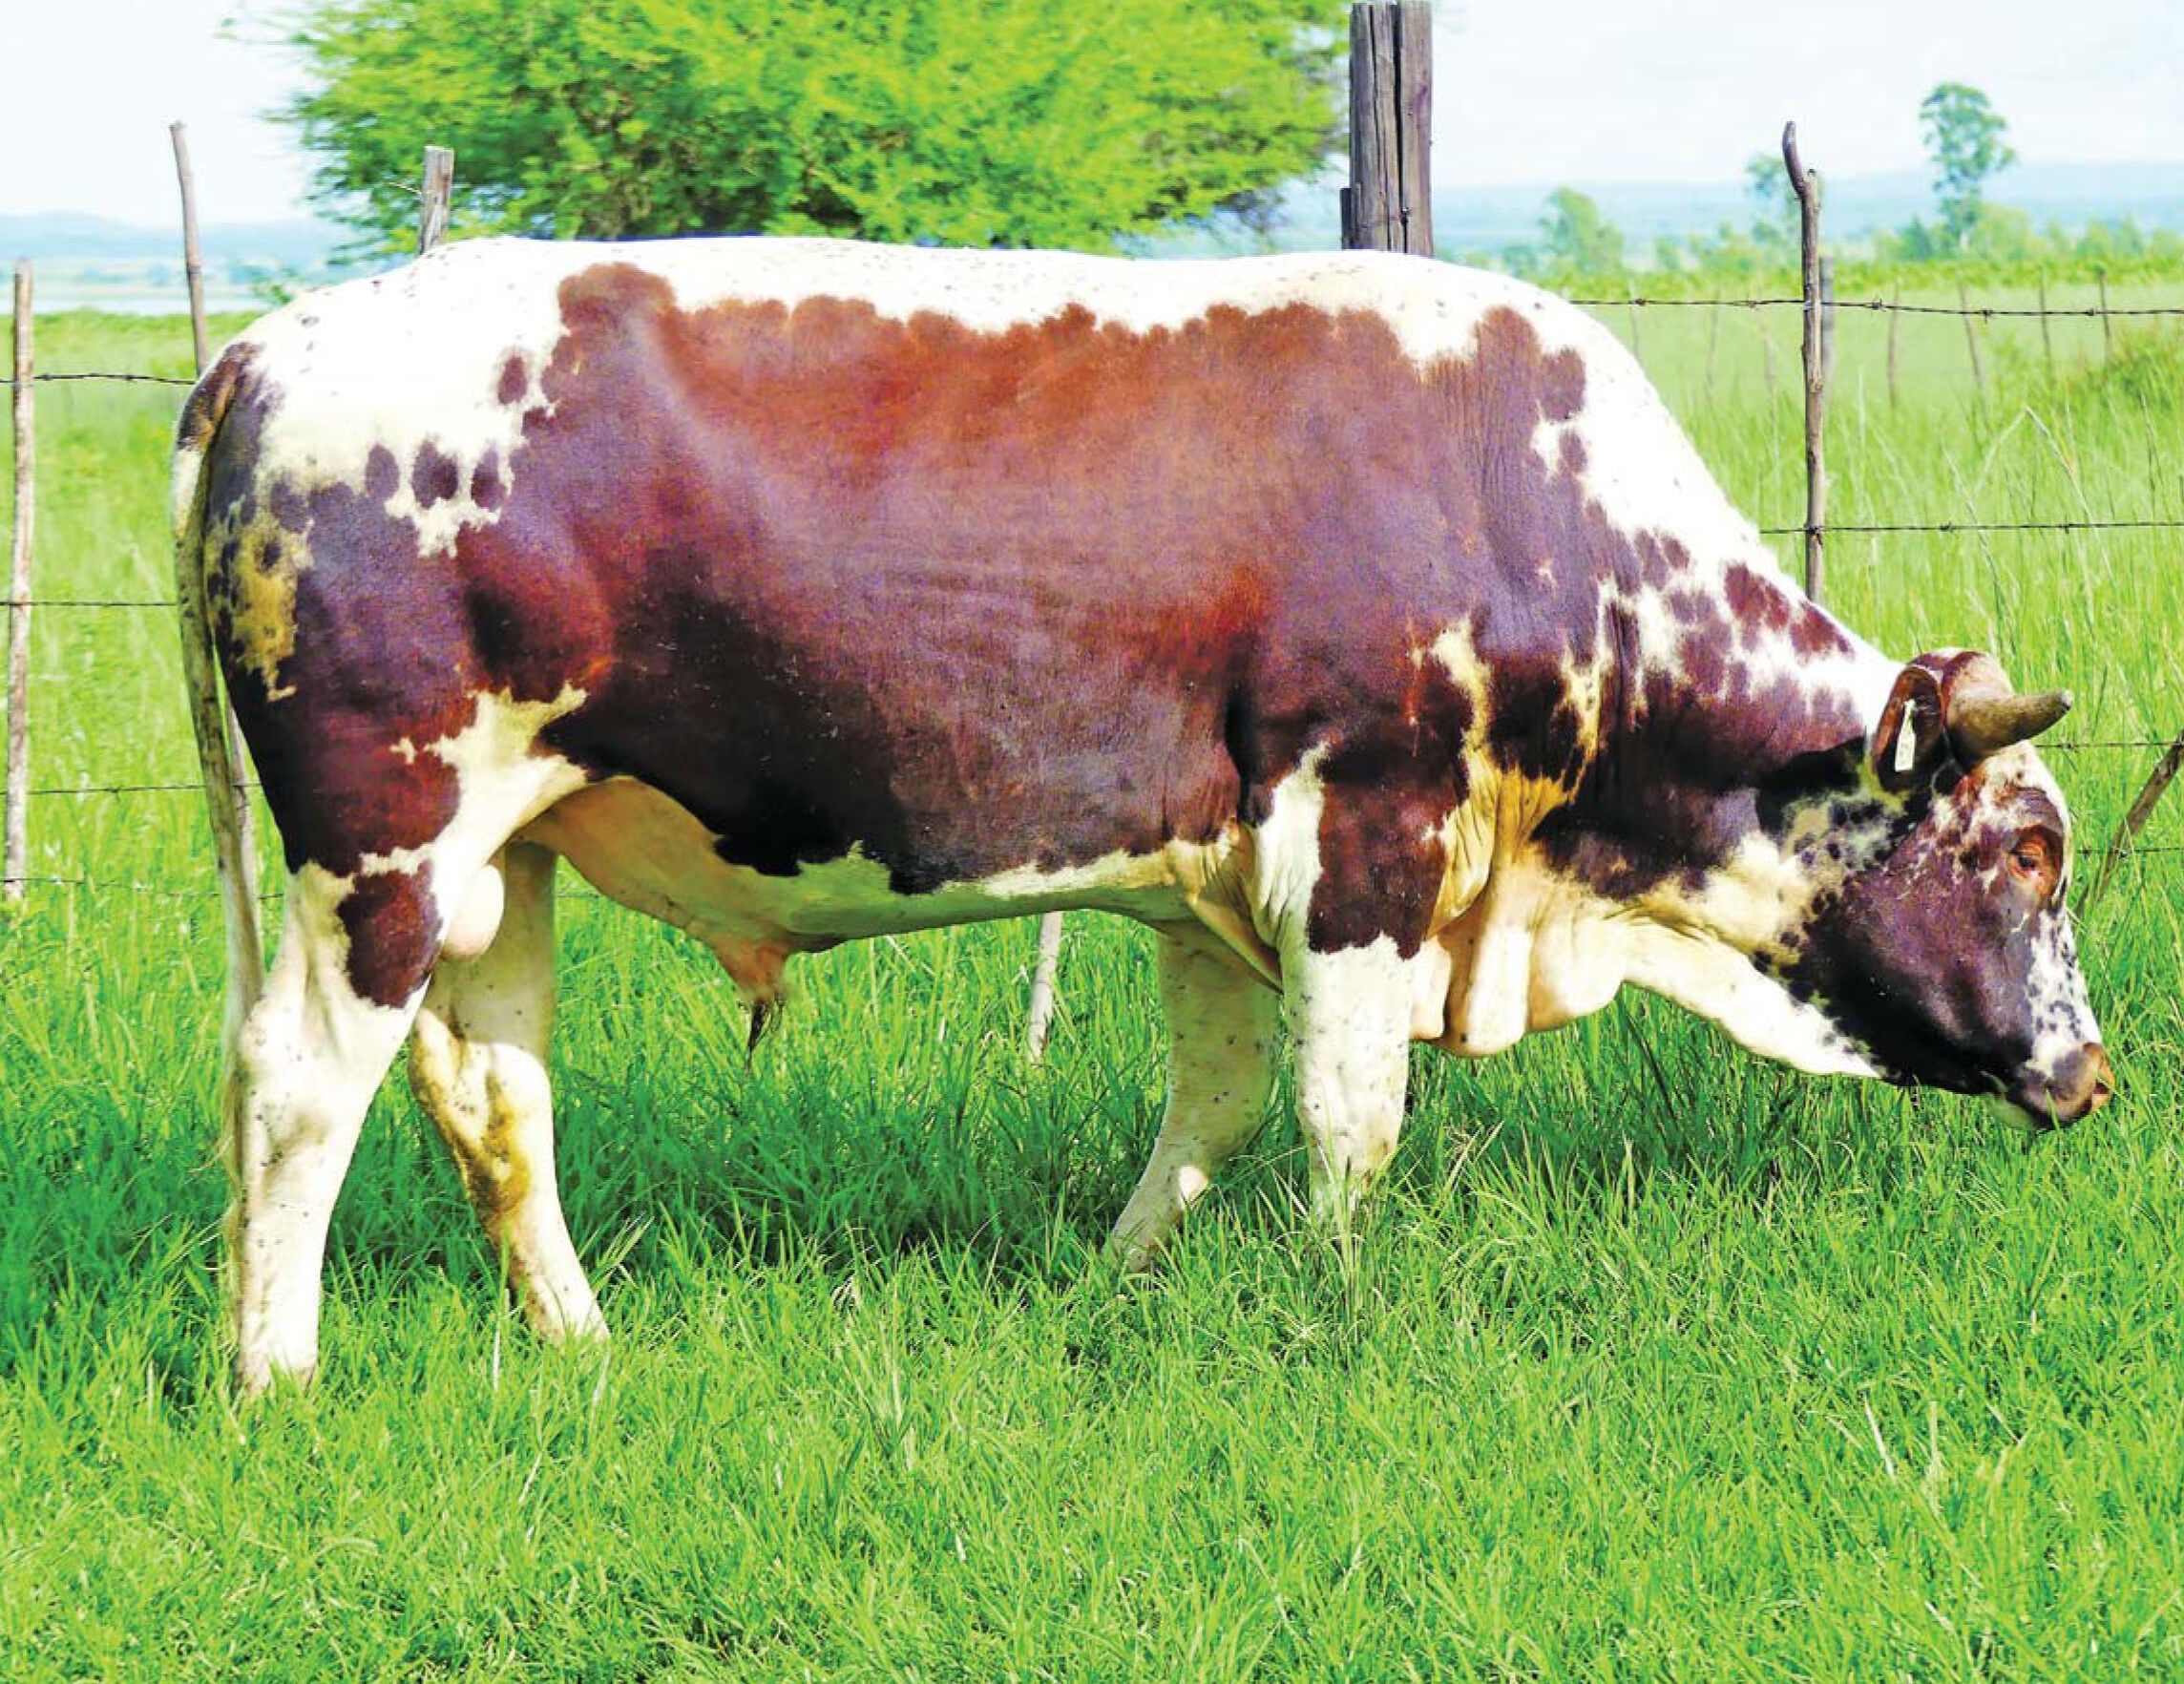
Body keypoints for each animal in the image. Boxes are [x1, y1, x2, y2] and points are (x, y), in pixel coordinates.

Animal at [172, 237, 2110, 1394]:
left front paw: (1117, 1290)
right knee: (299, 1089)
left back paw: (576, 1338)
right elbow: (1349, 1118)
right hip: (379, 846)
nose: (2091, 1070)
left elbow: (1217, 1107)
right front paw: (1335, 1302)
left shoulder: (1213, 881)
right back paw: (277, 1373)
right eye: (2026, 849)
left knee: (494, 1099)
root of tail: (265, 344)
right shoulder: (1360, 832)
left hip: (501, 861)